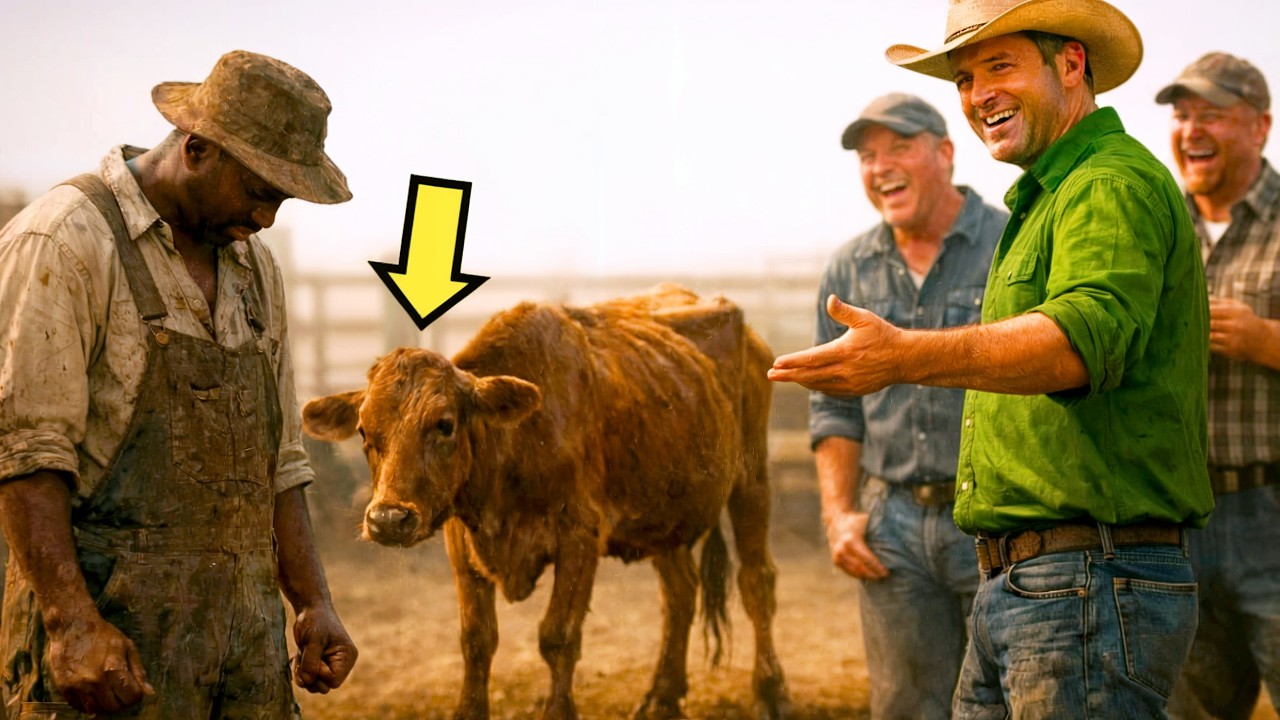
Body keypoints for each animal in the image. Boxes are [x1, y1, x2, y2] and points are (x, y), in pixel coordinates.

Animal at [301, 284, 790, 720]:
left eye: (444, 424)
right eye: (364, 431)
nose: (388, 519)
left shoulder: (580, 536)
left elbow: (558, 637)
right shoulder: (461, 540)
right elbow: (476, 640)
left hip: (751, 481)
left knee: (756, 582)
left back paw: (771, 692)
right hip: (663, 513)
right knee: (680, 593)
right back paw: (661, 697)